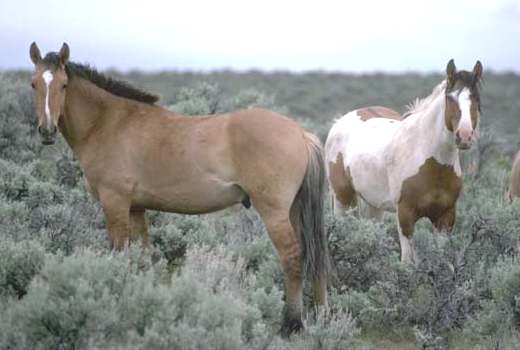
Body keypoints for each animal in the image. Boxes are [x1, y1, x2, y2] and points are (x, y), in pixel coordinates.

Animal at [28, 41, 328, 334]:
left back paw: (291, 324)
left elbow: (120, 253)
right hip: (294, 211)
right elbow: (142, 256)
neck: (109, 123)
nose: (47, 131)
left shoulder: (115, 204)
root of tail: (300, 133)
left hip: (274, 212)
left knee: (292, 258)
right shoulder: (136, 209)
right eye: (33, 84)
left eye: (63, 85)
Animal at [324, 59, 484, 262]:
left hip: (374, 204)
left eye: (476, 99)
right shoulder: (406, 215)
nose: (464, 136)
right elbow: (408, 261)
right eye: (450, 98)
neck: (432, 162)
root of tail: (338, 122)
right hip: (342, 199)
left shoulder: (445, 217)